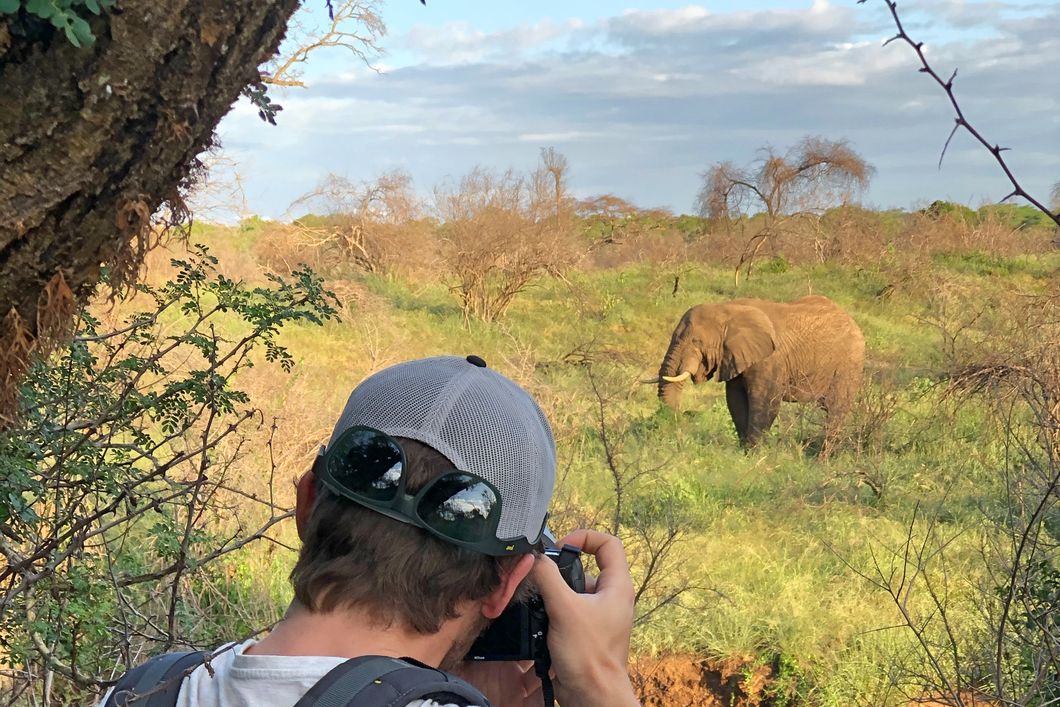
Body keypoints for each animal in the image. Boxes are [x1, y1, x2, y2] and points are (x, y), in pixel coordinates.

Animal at [652, 295, 864, 455]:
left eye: (696, 342)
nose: (678, 417)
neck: (727, 309)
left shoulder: (770, 359)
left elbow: (765, 402)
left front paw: (753, 455)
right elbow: (735, 401)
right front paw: (743, 452)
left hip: (848, 364)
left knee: (835, 409)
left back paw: (823, 459)